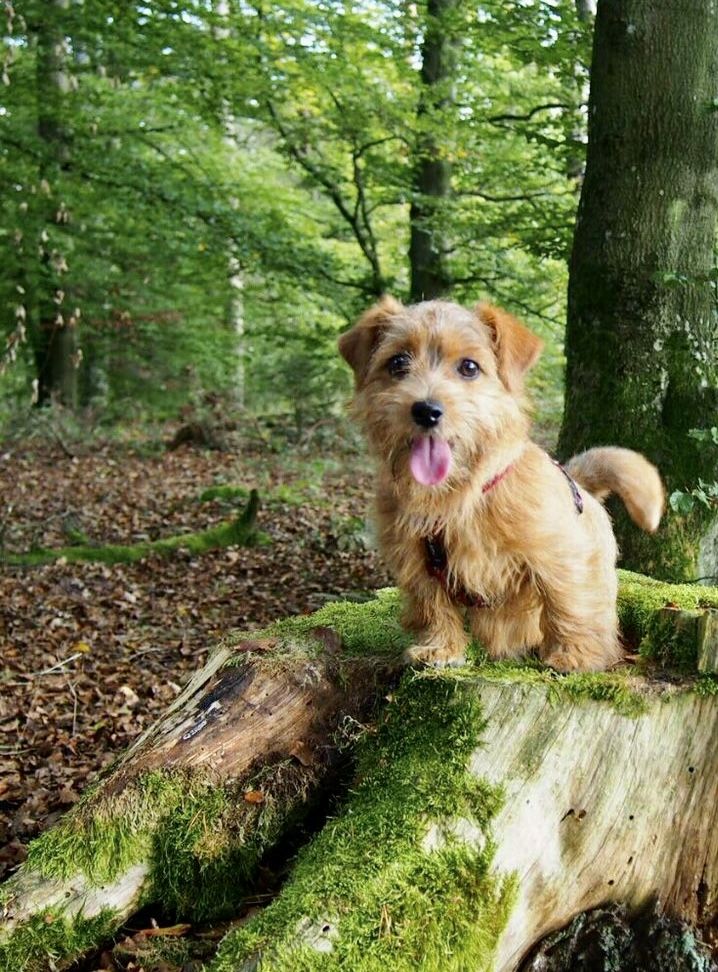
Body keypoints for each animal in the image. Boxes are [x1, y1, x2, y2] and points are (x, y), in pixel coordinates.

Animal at [340, 296, 668, 672]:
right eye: (397, 362)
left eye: (469, 367)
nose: (426, 410)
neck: (458, 498)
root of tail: (578, 482)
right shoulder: (417, 563)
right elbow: (434, 606)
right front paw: (441, 648)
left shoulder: (559, 554)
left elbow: (567, 600)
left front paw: (575, 655)